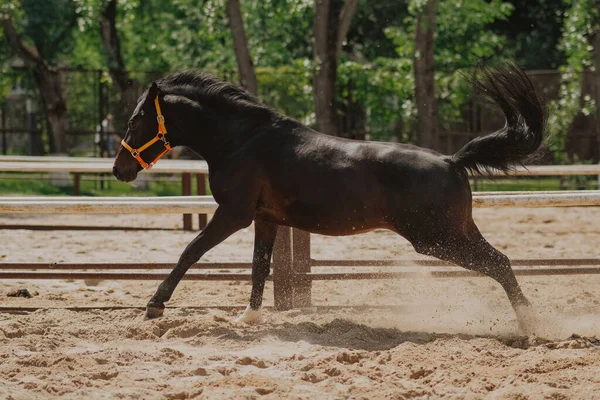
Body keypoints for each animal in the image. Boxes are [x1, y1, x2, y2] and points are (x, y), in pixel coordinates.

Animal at [110, 62, 548, 324]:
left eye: (135, 121)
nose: (119, 170)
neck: (242, 140)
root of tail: (451, 160)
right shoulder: (264, 219)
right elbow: (259, 266)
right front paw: (249, 317)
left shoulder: (234, 214)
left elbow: (191, 251)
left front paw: (154, 305)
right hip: (457, 232)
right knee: (501, 260)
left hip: (436, 238)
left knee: (497, 263)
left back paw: (531, 325)